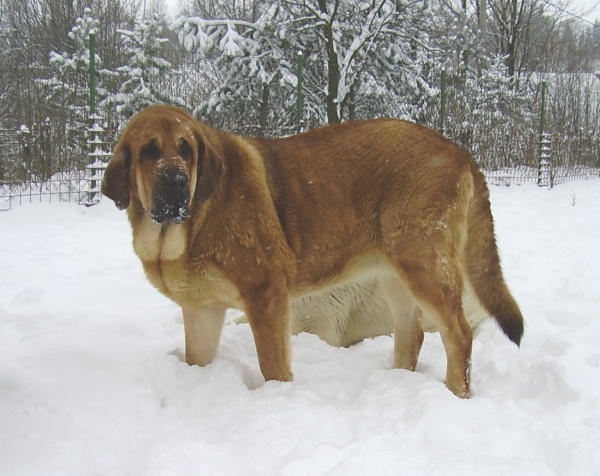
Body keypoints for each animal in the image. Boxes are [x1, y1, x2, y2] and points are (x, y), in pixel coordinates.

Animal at [103, 104, 524, 398]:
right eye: (148, 151)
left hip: (423, 263)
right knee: (412, 333)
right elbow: (198, 359)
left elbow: (272, 363)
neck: (189, 227)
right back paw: (397, 382)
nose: (175, 180)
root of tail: (460, 151)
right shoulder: (202, 311)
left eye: (186, 150)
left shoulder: (266, 296)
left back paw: (455, 395)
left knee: (459, 335)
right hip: (394, 273)